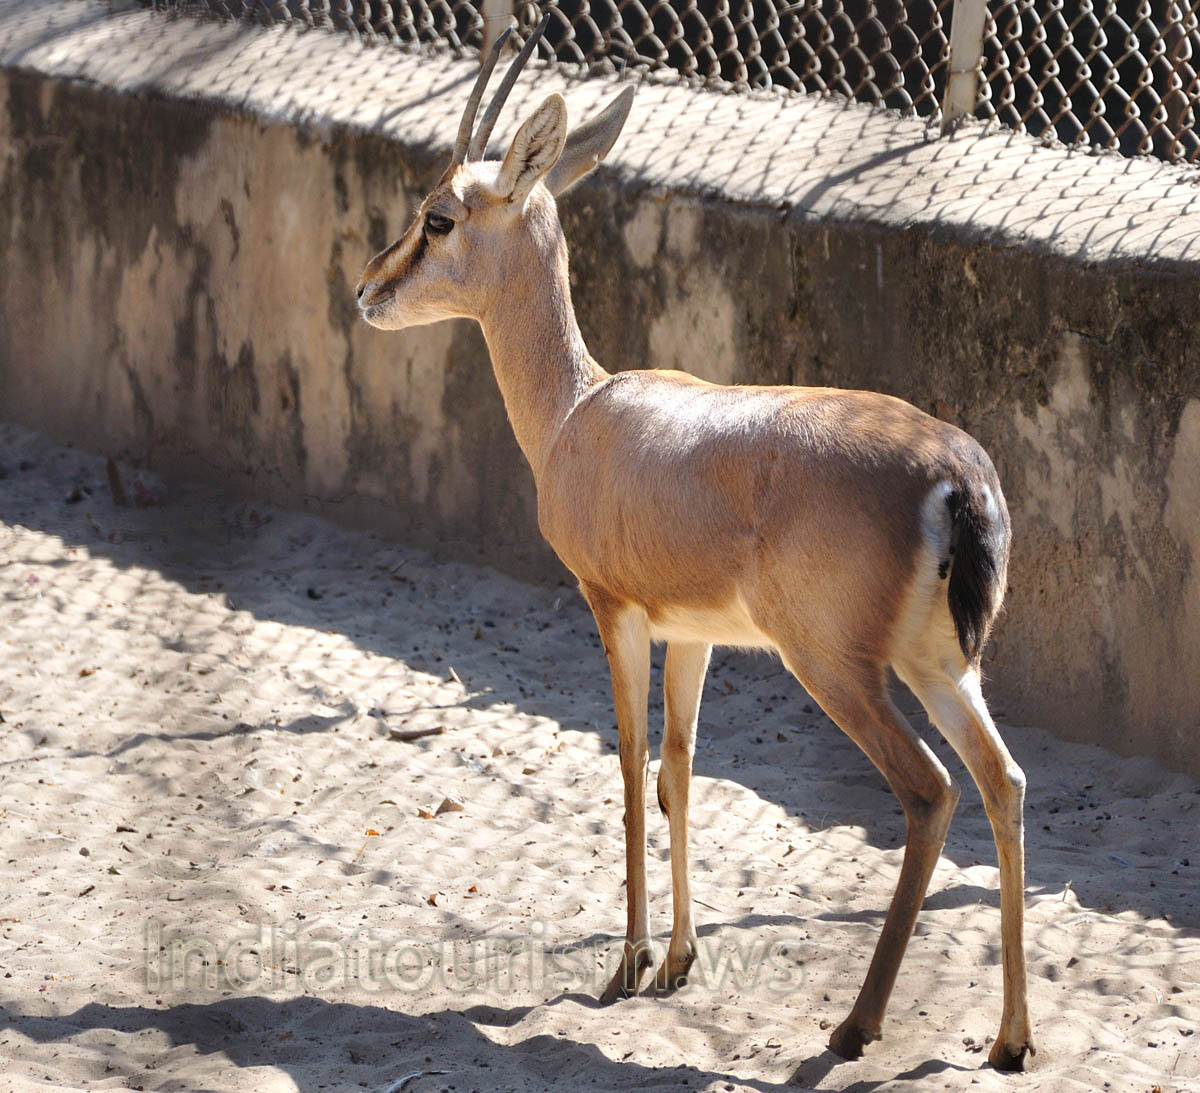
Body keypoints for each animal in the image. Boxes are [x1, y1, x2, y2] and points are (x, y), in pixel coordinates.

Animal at [356, 19, 1034, 1071]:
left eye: (438, 217)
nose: (366, 291)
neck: (580, 412)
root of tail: (956, 472)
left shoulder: (614, 609)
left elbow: (632, 767)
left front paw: (625, 965)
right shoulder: (698, 632)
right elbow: (679, 768)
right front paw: (677, 959)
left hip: (837, 667)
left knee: (929, 792)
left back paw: (855, 1025)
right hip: (938, 664)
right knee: (1003, 781)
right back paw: (1008, 1040)